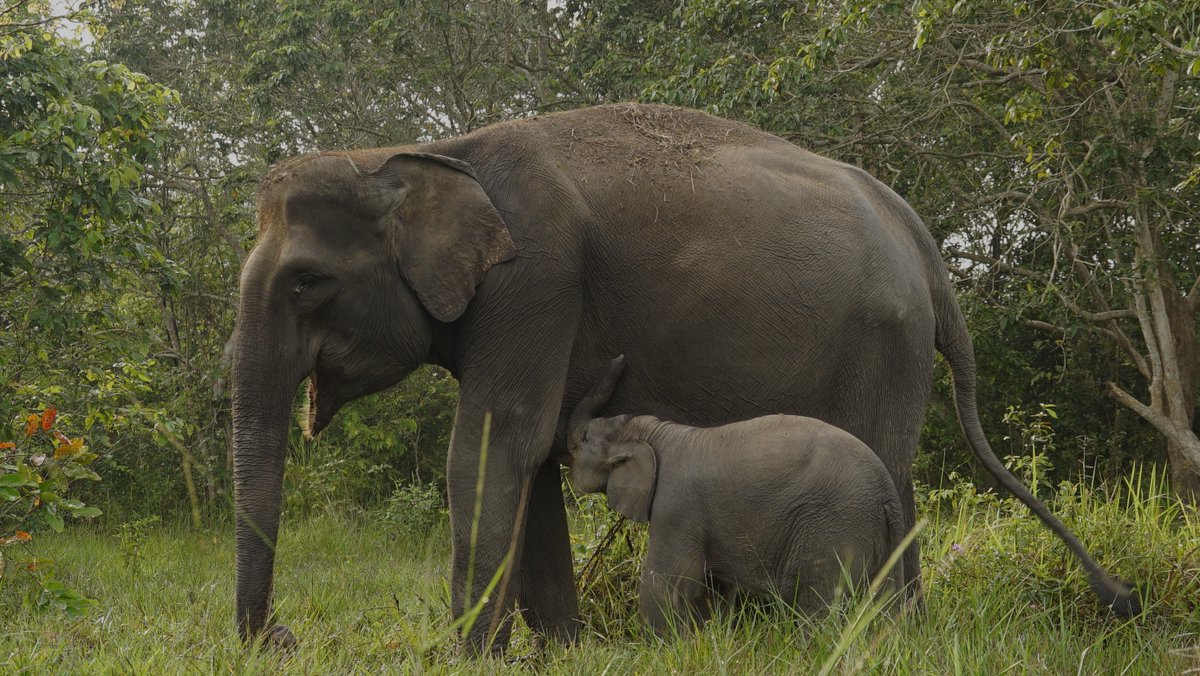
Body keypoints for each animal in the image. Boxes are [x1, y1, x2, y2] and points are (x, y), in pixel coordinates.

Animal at [567, 356, 907, 634]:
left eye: (584, 439)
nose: (620, 358)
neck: (655, 432)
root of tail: (887, 490)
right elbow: (714, 587)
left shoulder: (675, 507)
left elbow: (668, 581)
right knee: (880, 602)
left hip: (834, 526)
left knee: (818, 604)